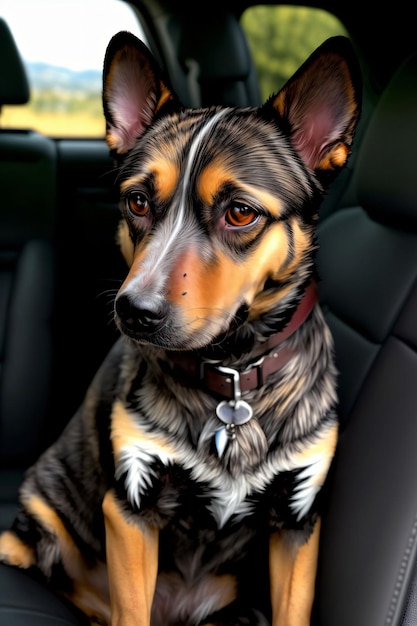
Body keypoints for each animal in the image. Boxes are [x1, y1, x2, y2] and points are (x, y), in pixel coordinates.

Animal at [0, 33, 360, 624]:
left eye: (241, 212)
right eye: (137, 201)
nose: (135, 311)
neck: (232, 372)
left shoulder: (298, 522)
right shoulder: (131, 507)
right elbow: (132, 611)